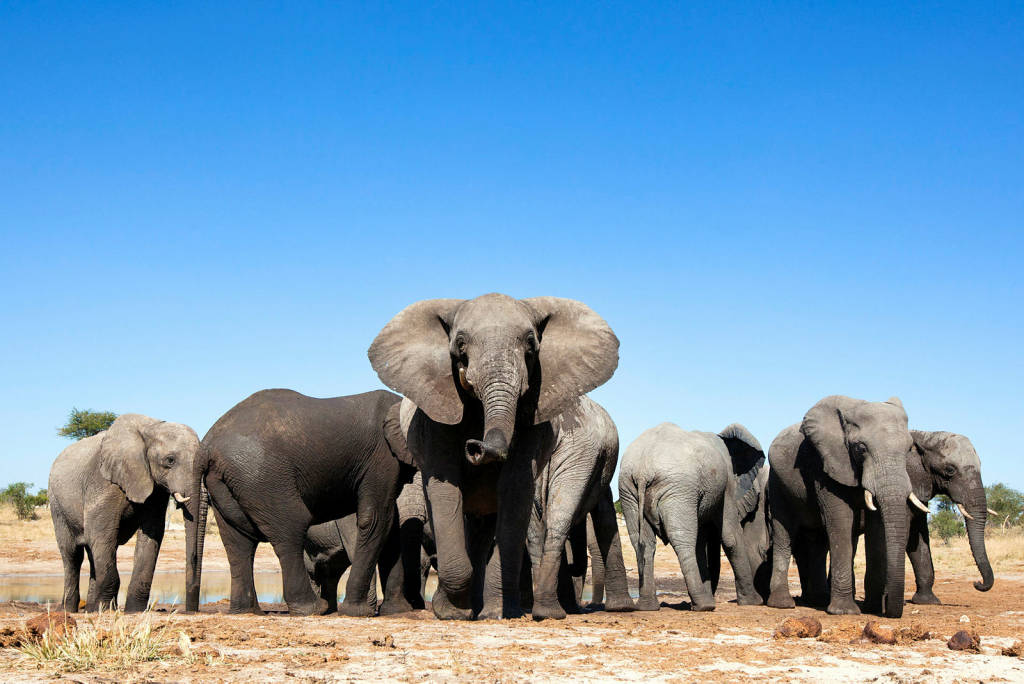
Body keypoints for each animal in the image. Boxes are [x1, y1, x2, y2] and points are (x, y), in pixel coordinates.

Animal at [48, 413, 200, 610]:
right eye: (170, 460)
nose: (191, 610)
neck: (150, 428)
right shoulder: (103, 481)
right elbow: (102, 533)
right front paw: (104, 609)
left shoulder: (154, 488)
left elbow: (151, 534)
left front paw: (133, 611)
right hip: (56, 504)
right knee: (72, 555)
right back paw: (70, 610)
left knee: (93, 552)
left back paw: (90, 609)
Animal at [190, 387, 413, 618]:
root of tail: (206, 446)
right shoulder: (382, 457)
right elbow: (376, 518)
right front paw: (358, 612)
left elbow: (391, 526)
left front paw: (398, 611)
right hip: (261, 475)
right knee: (290, 528)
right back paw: (313, 608)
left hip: (227, 481)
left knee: (238, 542)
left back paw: (247, 611)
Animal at [372, 294, 618, 618]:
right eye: (460, 344)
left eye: (531, 345)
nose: (475, 446)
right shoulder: (435, 413)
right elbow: (446, 488)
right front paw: (452, 612)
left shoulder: (532, 418)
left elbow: (514, 488)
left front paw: (495, 613)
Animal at [528, 393, 630, 618]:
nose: (590, 605)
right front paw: (622, 607)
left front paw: (620, 607)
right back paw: (553, 610)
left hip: (577, 454)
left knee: (547, 526)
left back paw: (549, 609)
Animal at [770, 393, 921, 618]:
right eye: (861, 448)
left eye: (909, 449)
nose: (888, 605)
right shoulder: (825, 464)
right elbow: (841, 521)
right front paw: (844, 611)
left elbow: (877, 528)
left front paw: (872, 608)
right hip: (777, 483)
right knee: (783, 532)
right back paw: (782, 604)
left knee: (818, 542)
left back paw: (819, 599)